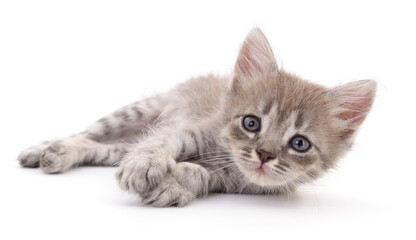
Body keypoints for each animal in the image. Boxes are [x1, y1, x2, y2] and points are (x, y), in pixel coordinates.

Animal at [17, 28, 376, 206]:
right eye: (251, 124)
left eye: (299, 143)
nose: (263, 155)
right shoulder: (189, 128)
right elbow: (161, 142)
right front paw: (145, 165)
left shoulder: (230, 182)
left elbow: (199, 175)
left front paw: (174, 185)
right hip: (135, 111)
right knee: (87, 133)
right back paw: (48, 148)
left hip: (120, 145)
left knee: (104, 149)